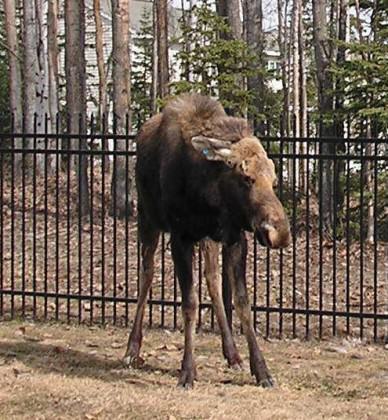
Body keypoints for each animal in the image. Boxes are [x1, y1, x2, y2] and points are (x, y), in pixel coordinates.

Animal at [124, 92, 292, 388]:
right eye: (246, 177)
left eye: (273, 180)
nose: (279, 232)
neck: (209, 195)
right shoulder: (180, 238)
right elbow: (189, 304)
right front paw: (187, 372)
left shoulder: (234, 238)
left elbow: (242, 303)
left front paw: (261, 370)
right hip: (148, 219)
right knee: (147, 274)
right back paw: (132, 348)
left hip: (209, 239)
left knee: (213, 280)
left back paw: (232, 353)